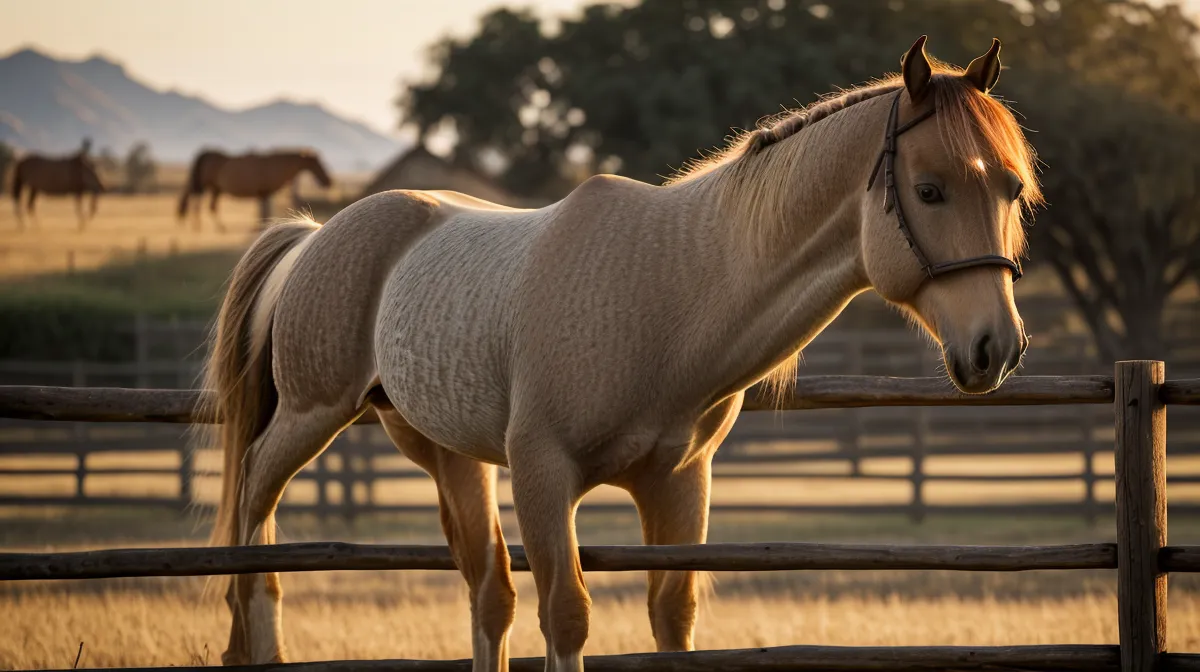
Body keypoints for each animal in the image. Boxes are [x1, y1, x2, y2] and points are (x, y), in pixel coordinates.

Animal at [177, 149, 333, 231]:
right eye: (318, 163)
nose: (328, 181)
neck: (274, 165)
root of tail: (207, 154)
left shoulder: (264, 194)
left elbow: (264, 212)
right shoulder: (264, 193)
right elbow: (264, 212)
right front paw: (262, 227)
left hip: (215, 188)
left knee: (210, 206)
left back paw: (216, 227)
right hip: (202, 184)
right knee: (194, 200)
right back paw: (198, 226)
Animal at [200, 36, 1040, 670]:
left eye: (1012, 188)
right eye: (929, 190)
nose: (994, 348)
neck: (672, 295)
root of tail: (316, 235)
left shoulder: (678, 485)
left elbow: (672, 615)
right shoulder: (544, 478)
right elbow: (567, 616)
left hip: (450, 456)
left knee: (487, 594)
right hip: (309, 416)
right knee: (251, 520)